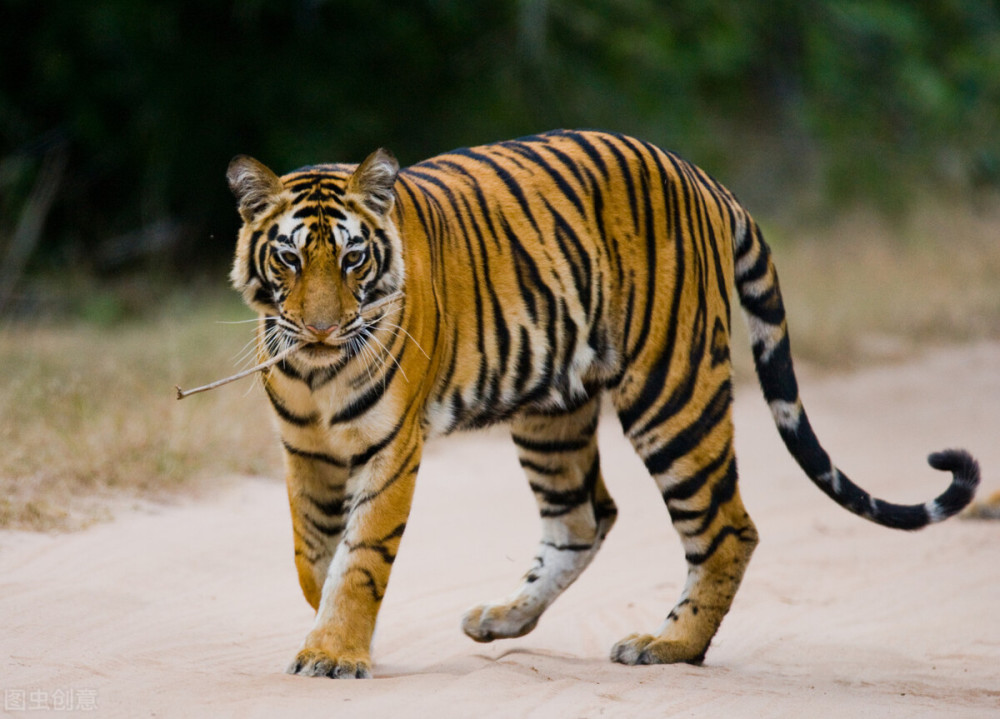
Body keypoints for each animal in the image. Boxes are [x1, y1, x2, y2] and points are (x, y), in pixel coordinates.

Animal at [225, 131, 976, 680]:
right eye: (289, 259)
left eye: (353, 260)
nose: (321, 329)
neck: (318, 371)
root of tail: (702, 177)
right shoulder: (306, 449)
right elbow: (314, 554)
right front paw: (334, 633)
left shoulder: (391, 447)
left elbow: (361, 555)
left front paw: (335, 652)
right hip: (550, 411)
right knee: (584, 516)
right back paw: (504, 617)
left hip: (672, 393)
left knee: (727, 526)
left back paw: (667, 646)